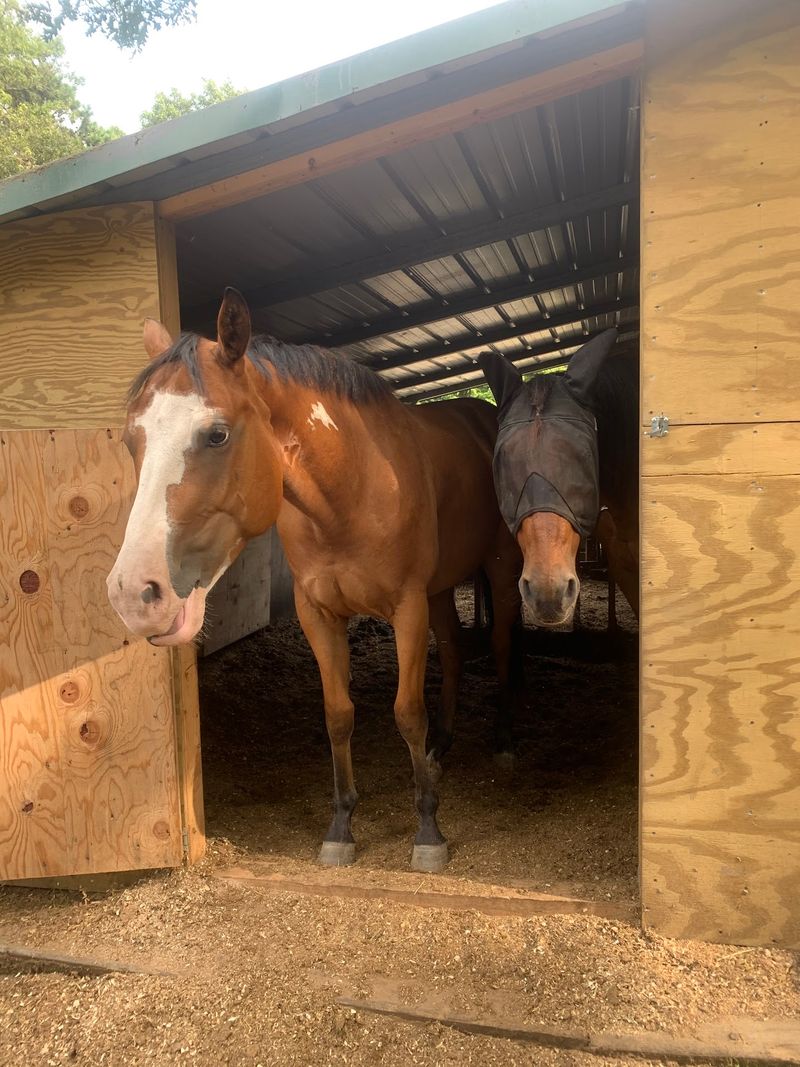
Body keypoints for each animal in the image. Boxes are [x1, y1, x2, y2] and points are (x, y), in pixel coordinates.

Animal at [107, 288, 522, 873]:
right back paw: (441, 747)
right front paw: (342, 825)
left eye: (217, 434)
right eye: (132, 439)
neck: (354, 485)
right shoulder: (318, 613)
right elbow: (338, 715)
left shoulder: (407, 608)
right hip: (440, 590)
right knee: (456, 651)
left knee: (503, 645)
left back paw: (504, 741)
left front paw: (428, 829)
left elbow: (406, 713)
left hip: (500, 572)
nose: (135, 594)